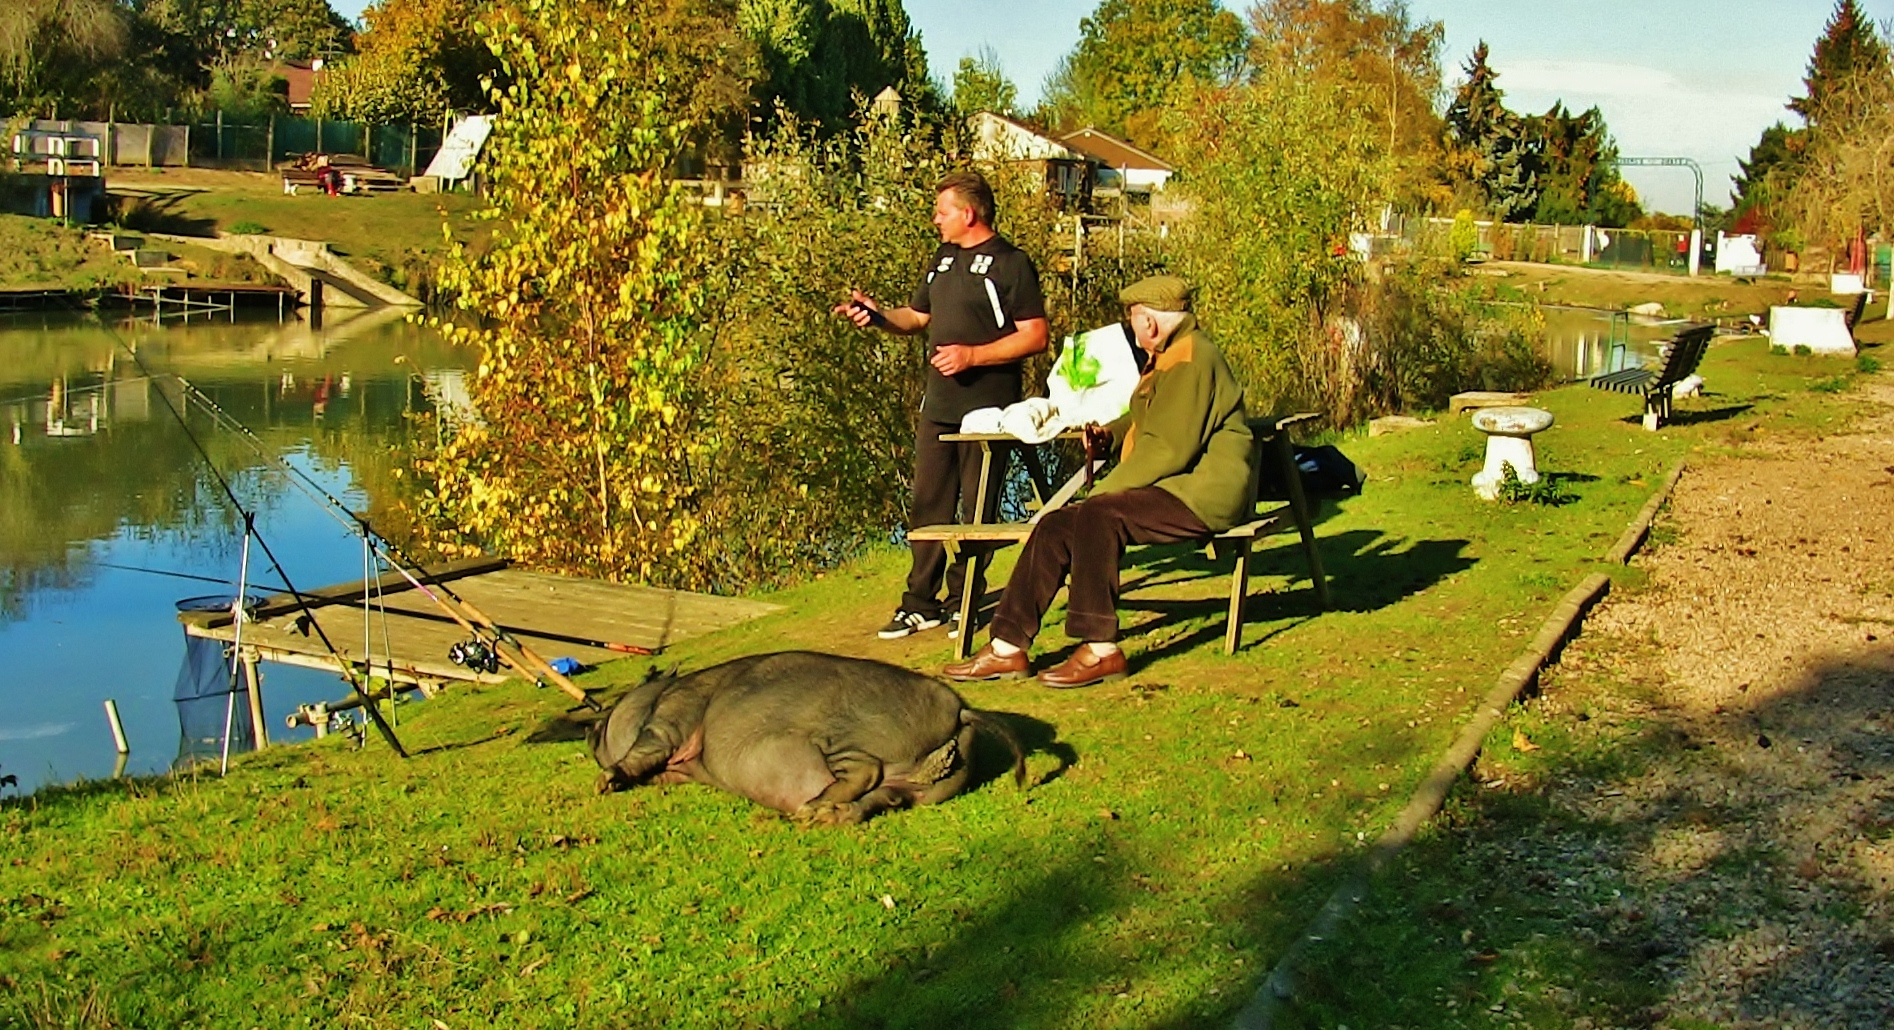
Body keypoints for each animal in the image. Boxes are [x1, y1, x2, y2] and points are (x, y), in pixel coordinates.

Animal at [587, 651, 1022, 829]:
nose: (591, 730)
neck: (656, 694)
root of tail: (959, 710)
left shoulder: (668, 720)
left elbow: (642, 751)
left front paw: (604, 784)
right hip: (919, 790)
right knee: (882, 799)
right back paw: (822, 815)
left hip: (842, 733)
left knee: (865, 770)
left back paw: (808, 808)